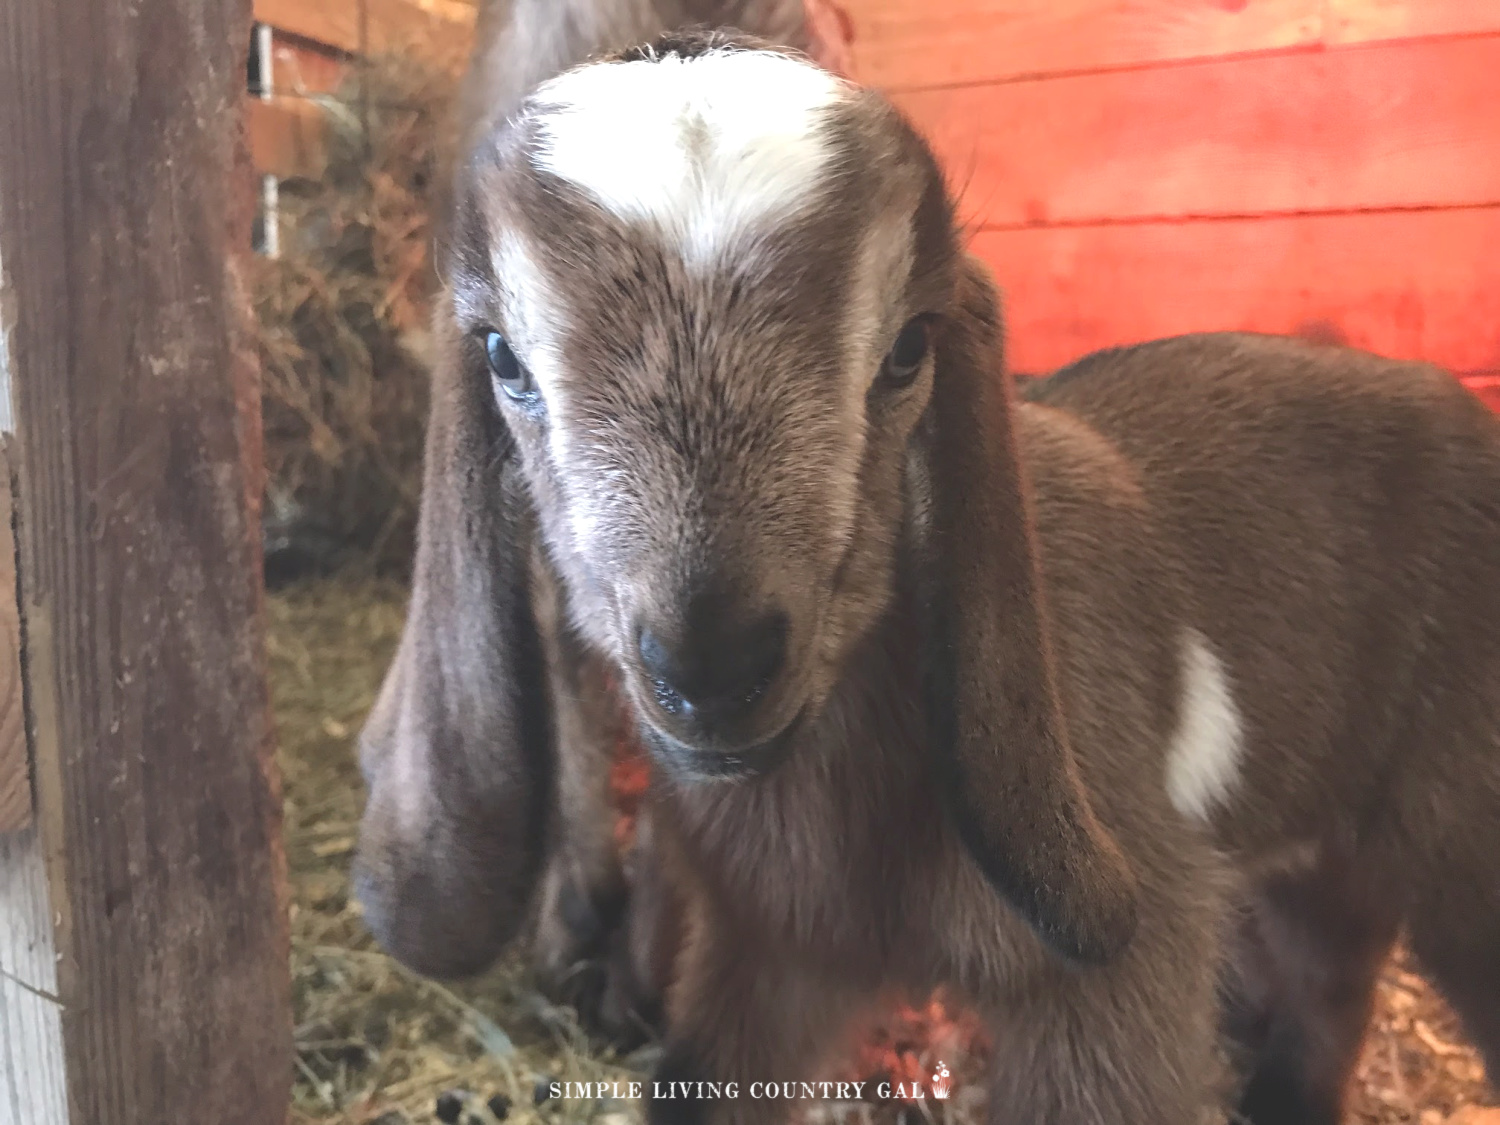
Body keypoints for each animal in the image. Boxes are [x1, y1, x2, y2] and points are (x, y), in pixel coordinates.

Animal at [354, 26, 1500, 1125]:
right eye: (502, 358)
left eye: (909, 350)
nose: (710, 669)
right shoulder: (771, 954)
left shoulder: (1122, 973)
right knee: (1331, 966)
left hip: (1460, 824)